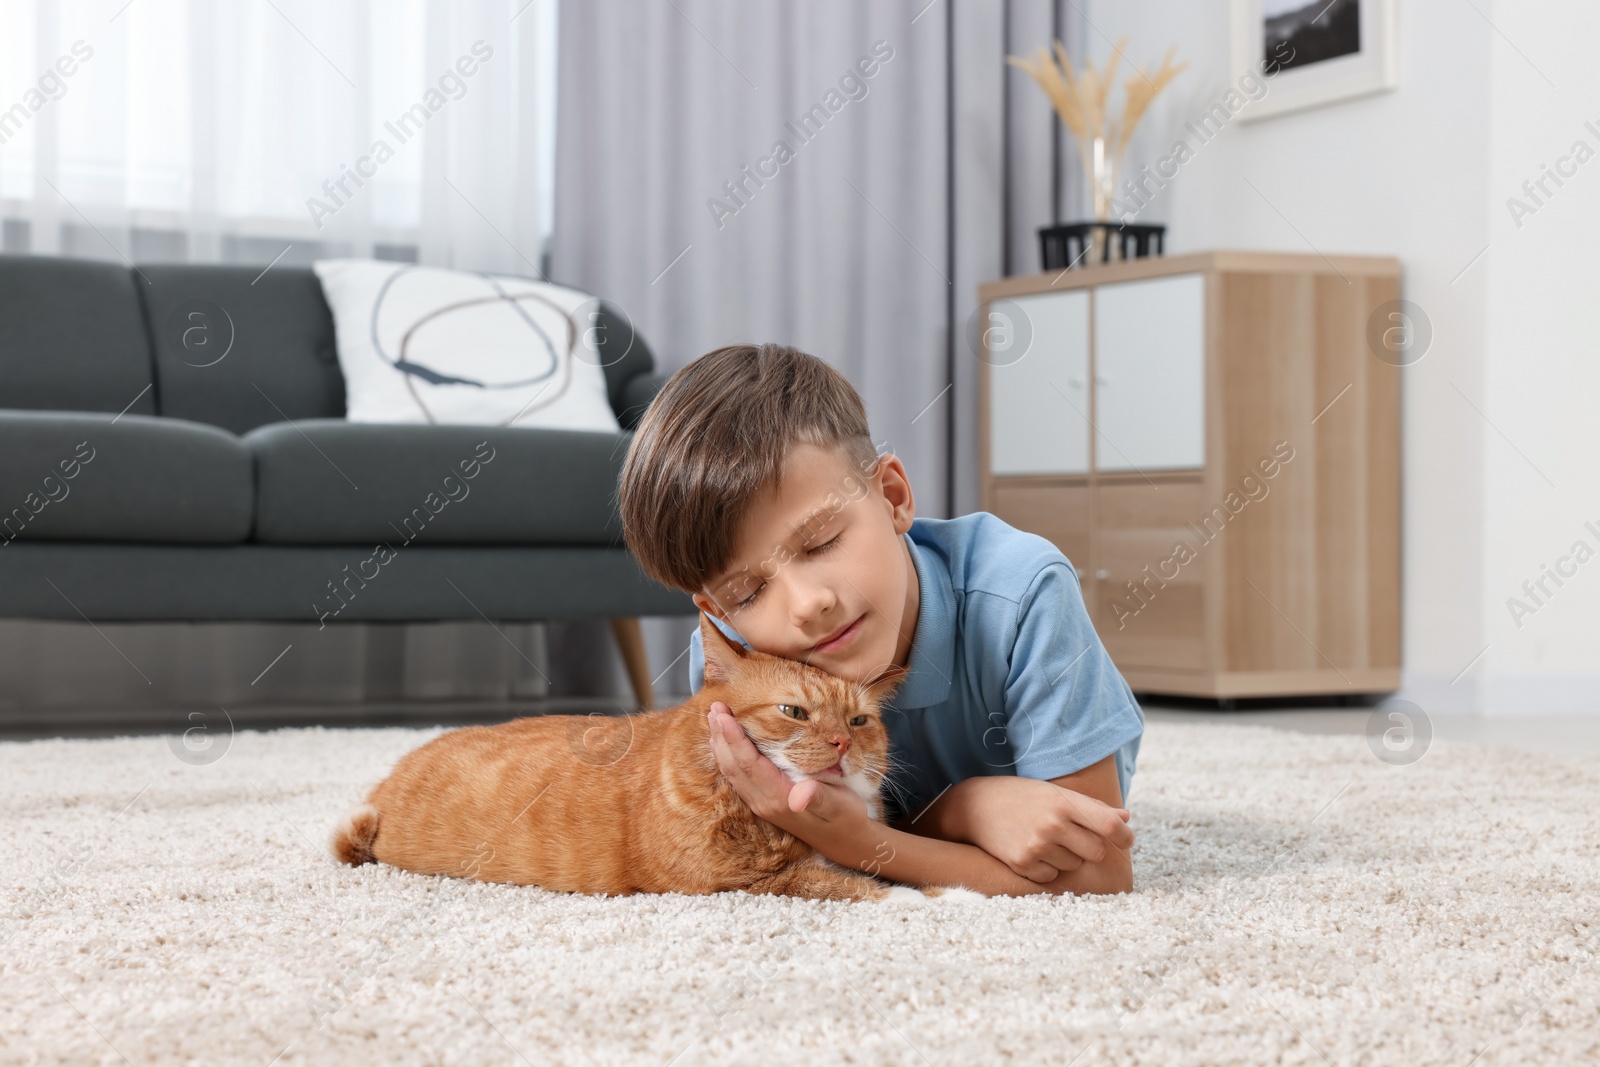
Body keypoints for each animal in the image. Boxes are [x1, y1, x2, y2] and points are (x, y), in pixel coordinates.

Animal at [332, 614, 979, 908]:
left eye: (859, 722)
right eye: (794, 711)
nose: (842, 746)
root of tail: (384, 786)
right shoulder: (748, 883)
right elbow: (866, 887)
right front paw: (953, 898)